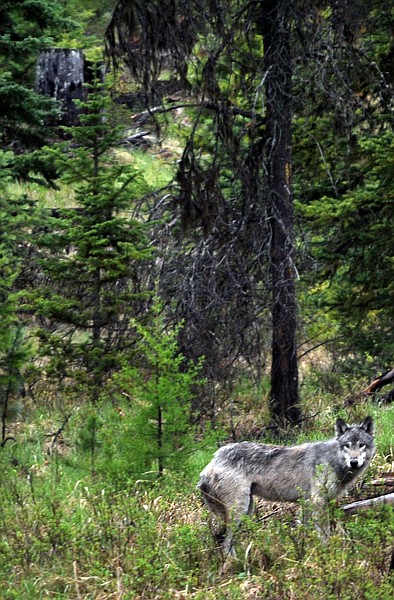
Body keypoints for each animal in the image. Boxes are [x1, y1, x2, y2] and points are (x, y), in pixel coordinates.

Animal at [197, 414, 376, 556]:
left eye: (361, 445)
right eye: (347, 445)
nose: (354, 462)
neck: (334, 460)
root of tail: (211, 462)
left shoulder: (308, 503)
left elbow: (307, 531)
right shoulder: (318, 501)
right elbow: (324, 534)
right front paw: (327, 553)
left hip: (248, 510)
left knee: (227, 541)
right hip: (240, 510)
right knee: (226, 543)